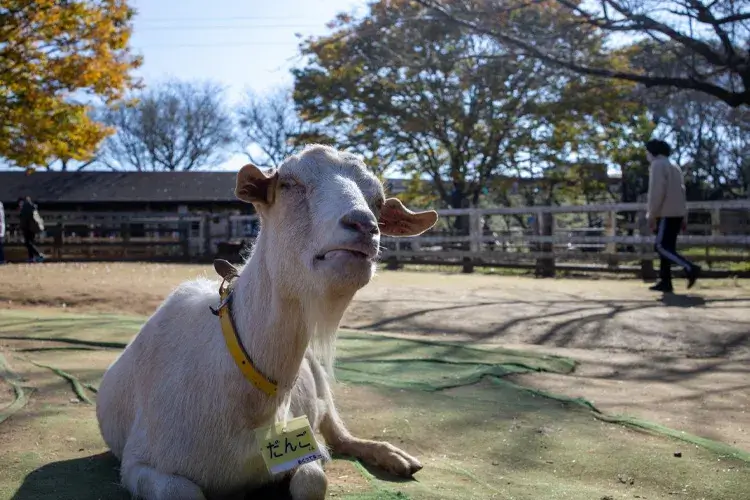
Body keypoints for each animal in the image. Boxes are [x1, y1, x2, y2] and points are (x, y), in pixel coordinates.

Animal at [97, 145, 444, 500]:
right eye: (289, 184)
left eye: (378, 201)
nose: (364, 226)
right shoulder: (138, 463)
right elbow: (182, 491)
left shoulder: (306, 449)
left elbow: (314, 481)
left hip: (320, 380)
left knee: (340, 433)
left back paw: (395, 457)